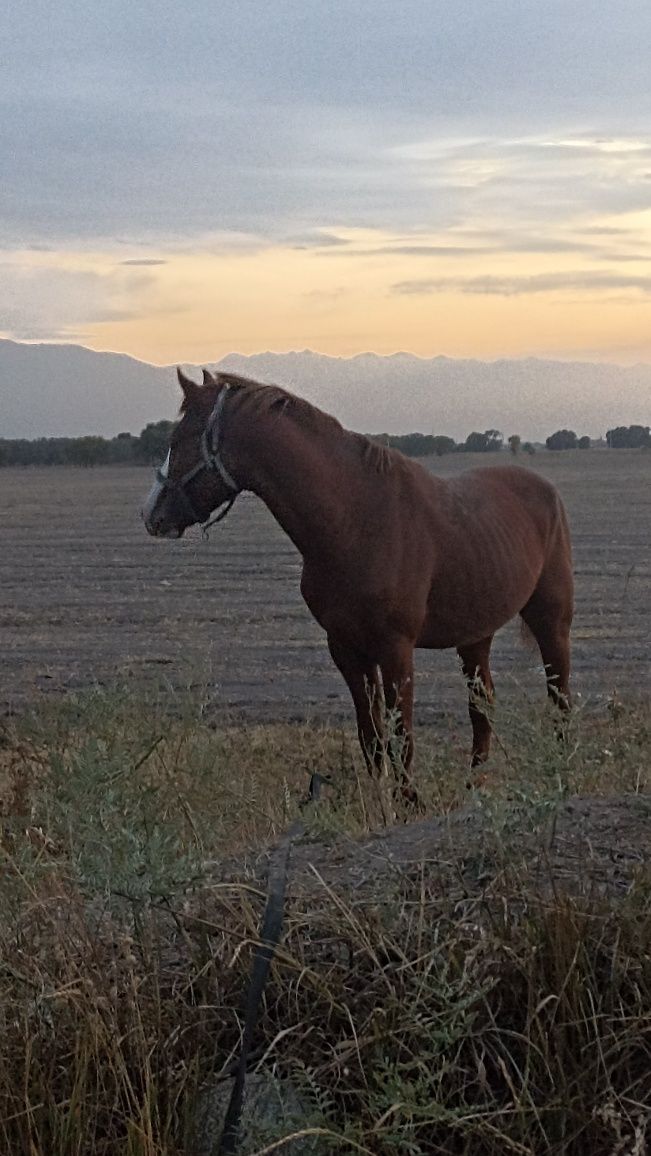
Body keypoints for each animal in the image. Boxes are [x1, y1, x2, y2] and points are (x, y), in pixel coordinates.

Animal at [141, 369, 571, 804]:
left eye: (179, 439)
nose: (151, 515)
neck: (355, 521)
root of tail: (546, 489)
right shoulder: (347, 650)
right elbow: (372, 740)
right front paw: (379, 805)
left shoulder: (396, 650)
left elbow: (402, 737)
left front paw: (408, 805)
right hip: (475, 635)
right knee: (482, 706)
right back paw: (473, 790)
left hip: (551, 620)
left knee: (559, 699)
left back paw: (562, 778)